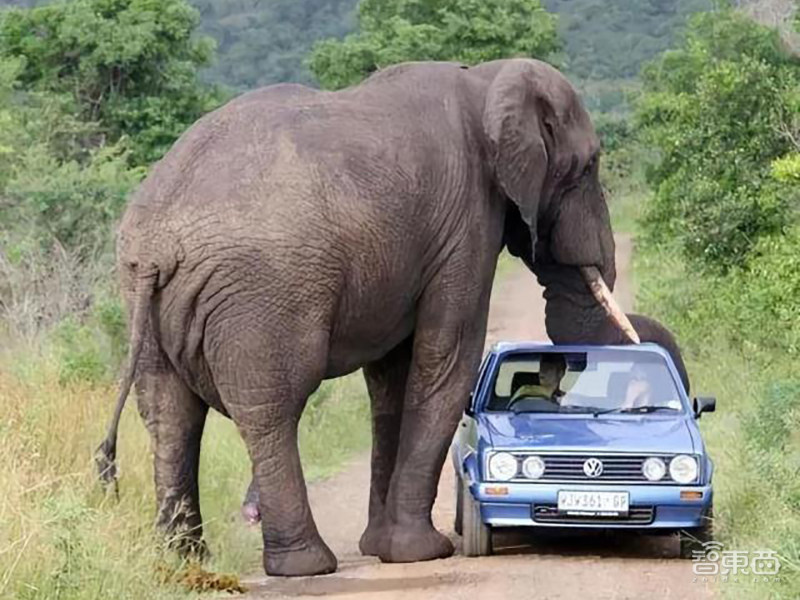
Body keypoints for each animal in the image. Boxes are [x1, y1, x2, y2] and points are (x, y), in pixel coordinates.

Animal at [97, 57, 692, 576]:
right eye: (588, 167)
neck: (485, 79)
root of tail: (155, 244)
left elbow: (392, 379)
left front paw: (380, 547)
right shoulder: (465, 224)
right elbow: (447, 357)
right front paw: (420, 554)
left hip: (144, 300)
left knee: (170, 413)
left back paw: (183, 562)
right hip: (261, 296)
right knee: (272, 408)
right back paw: (306, 566)